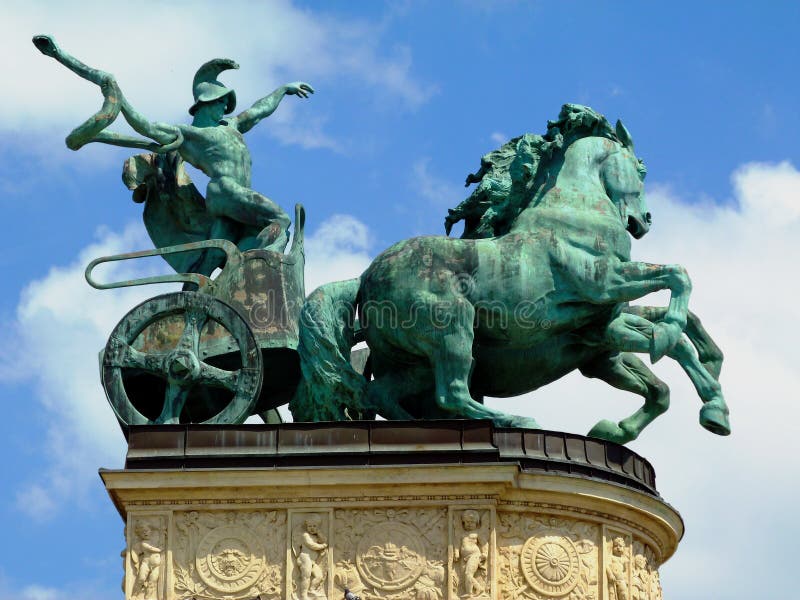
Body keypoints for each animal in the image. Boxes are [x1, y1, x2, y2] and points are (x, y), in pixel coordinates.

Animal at [290, 103, 732, 442]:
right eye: (641, 169)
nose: (644, 221)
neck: (573, 211)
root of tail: (365, 277)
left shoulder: (603, 327)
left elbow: (665, 367)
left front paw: (709, 405)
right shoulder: (604, 282)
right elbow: (677, 277)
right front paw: (677, 343)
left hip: (413, 365)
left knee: (380, 394)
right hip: (453, 325)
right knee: (450, 392)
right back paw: (513, 420)